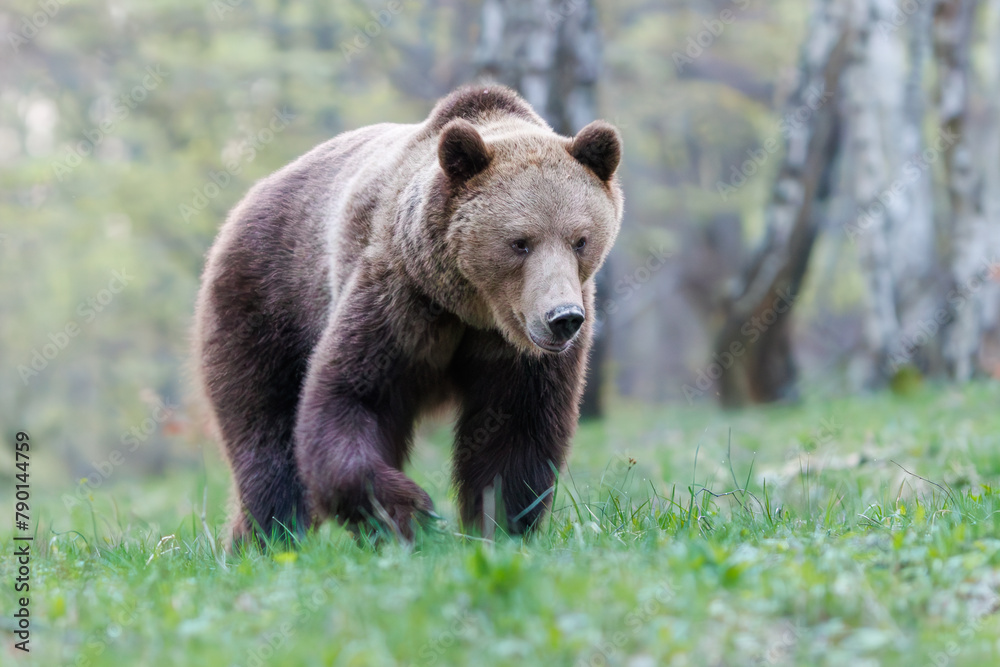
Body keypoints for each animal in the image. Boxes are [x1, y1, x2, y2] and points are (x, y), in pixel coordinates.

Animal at [192, 83, 620, 544]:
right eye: (520, 242)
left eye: (580, 240)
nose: (562, 317)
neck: (471, 307)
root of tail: (245, 204)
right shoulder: (400, 298)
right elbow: (349, 397)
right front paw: (412, 511)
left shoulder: (515, 350)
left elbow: (517, 431)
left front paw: (497, 526)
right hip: (268, 300)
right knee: (264, 426)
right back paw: (267, 536)